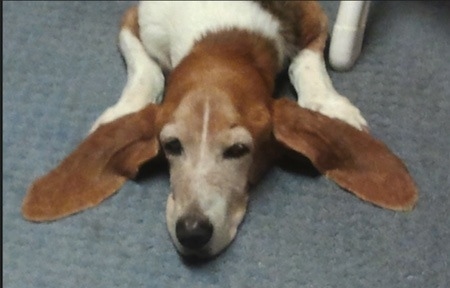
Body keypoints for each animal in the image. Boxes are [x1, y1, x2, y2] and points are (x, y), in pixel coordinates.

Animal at [22, 1, 416, 258]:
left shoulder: (313, 17)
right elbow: (146, 71)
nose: (192, 233)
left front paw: (329, 105)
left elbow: (306, 64)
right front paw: (122, 111)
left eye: (239, 150)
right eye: (171, 145)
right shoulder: (134, 20)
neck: (221, 38)